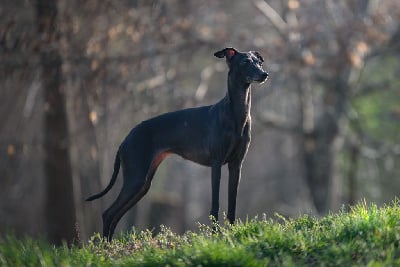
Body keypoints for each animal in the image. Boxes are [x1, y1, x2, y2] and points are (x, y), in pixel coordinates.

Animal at [87, 47, 268, 241]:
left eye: (259, 62)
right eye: (244, 62)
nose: (264, 74)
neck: (236, 114)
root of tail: (124, 141)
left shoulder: (236, 165)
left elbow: (232, 204)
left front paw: (231, 234)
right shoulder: (216, 164)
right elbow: (215, 204)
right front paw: (215, 236)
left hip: (142, 184)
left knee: (115, 215)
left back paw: (110, 244)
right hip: (135, 178)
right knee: (108, 213)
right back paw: (105, 246)